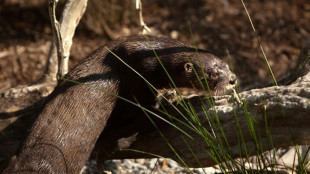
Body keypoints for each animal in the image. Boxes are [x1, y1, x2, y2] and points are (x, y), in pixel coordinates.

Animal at [3, 34, 236, 173]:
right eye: (212, 74)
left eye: (225, 64)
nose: (232, 79)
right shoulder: (138, 77)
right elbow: (146, 111)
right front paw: (167, 101)